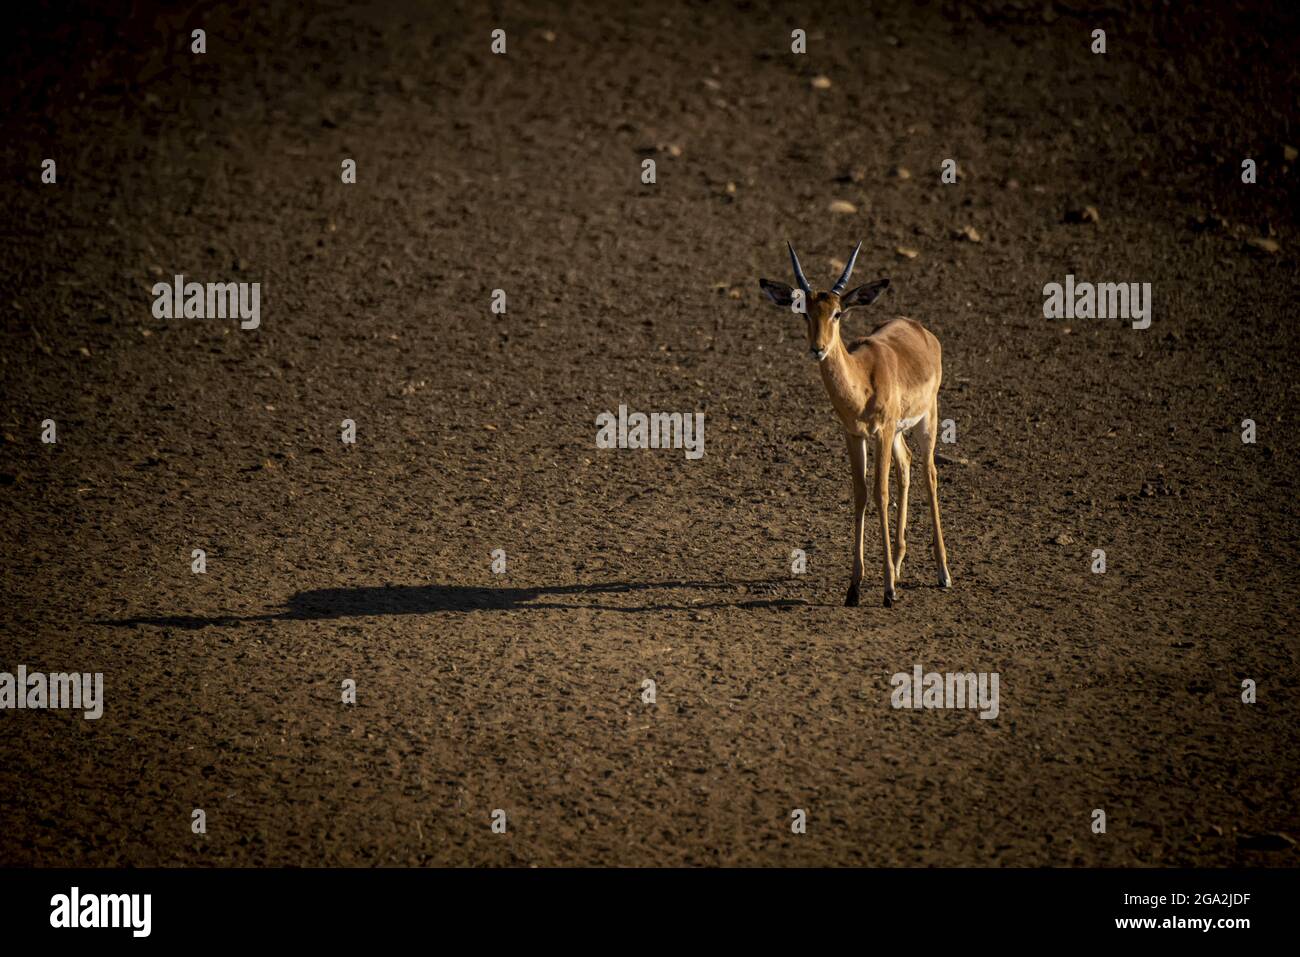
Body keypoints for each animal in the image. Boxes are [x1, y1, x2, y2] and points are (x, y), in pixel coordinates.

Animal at [759, 242, 952, 608]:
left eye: (837, 313)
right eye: (804, 312)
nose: (818, 348)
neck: (863, 381)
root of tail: (921, 330)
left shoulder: (882, 431)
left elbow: (880, 493)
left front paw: (888, 591)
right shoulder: (854, 434)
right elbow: (860, 494)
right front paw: (854, 587)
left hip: (927, 418)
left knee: (929, 474)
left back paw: (942, 574)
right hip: (897, 433)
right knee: (906, 465)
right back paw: (899, 564)